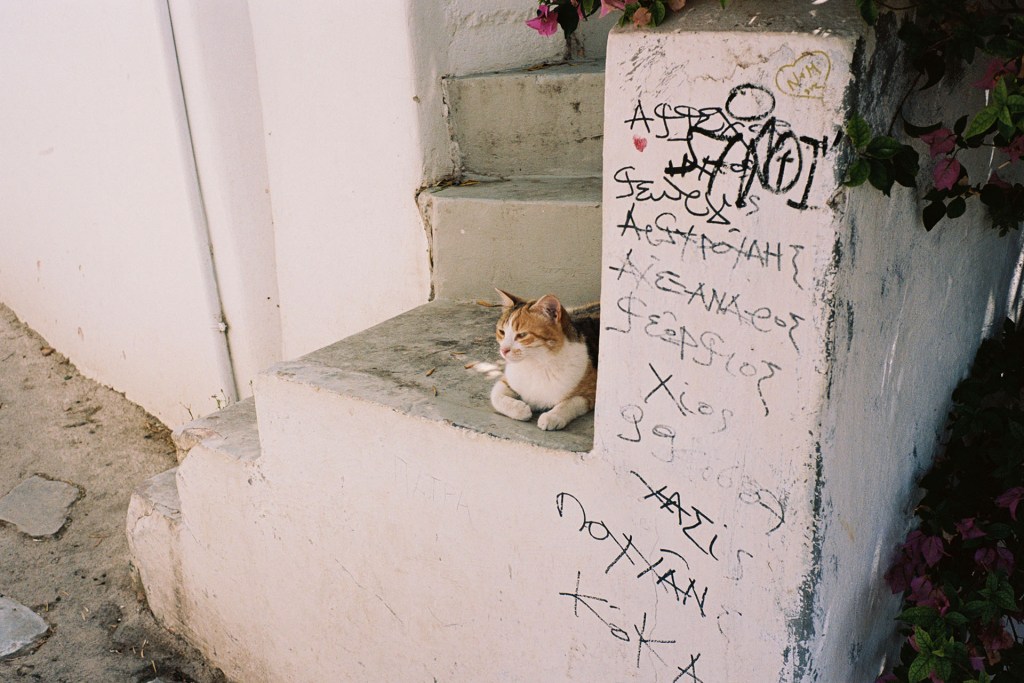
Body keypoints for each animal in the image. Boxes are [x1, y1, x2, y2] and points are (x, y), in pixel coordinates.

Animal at [489, 289, 600, 431]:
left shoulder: (593, 391)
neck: (537, 364)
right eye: (501, 332)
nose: (503, 350)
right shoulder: (506, 380)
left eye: (522, 335)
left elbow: (570, 402)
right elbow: (496, 395)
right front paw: (519, 409)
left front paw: (552, 416)